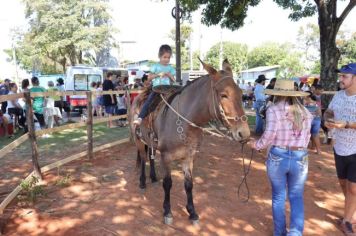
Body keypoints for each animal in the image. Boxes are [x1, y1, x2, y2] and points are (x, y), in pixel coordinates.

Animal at [129, 59, 249, 225]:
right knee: (143, 158)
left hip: (150, 141)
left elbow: (189, 184)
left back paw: (153, 177)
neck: (184, 122)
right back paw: (142, 182)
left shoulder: (189, 157)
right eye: (224, 95)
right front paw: (167, 212)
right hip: (139, 140)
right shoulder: (166, 157)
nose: (244, 133)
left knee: (150, 157)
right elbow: (168, 184)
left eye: (241, 93)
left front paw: (192, 212)